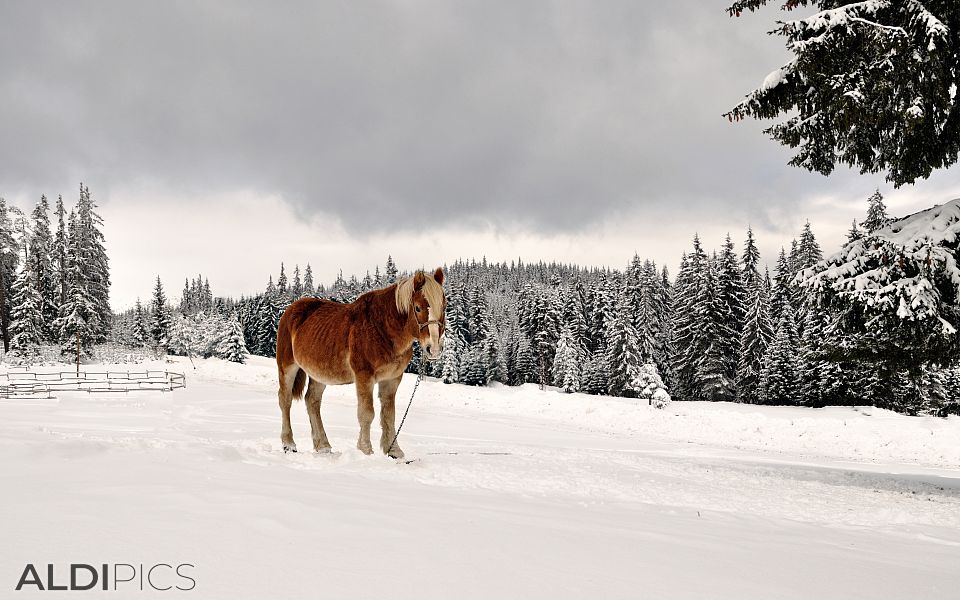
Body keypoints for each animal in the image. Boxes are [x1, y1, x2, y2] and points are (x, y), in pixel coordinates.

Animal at [274, 264, 446, 458]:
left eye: (444, 306)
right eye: (417, 308)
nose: (434, 348)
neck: (382, 328)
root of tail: (291, 310)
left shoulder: (392, 379)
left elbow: (389, 415)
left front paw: (393, 451)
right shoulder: (364, 376)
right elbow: (367, 413)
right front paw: (365, 450)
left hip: (319, 374)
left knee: (312, 401)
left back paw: (323, 446)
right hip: (287, 366)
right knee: (285, 400)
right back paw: (289, 444)